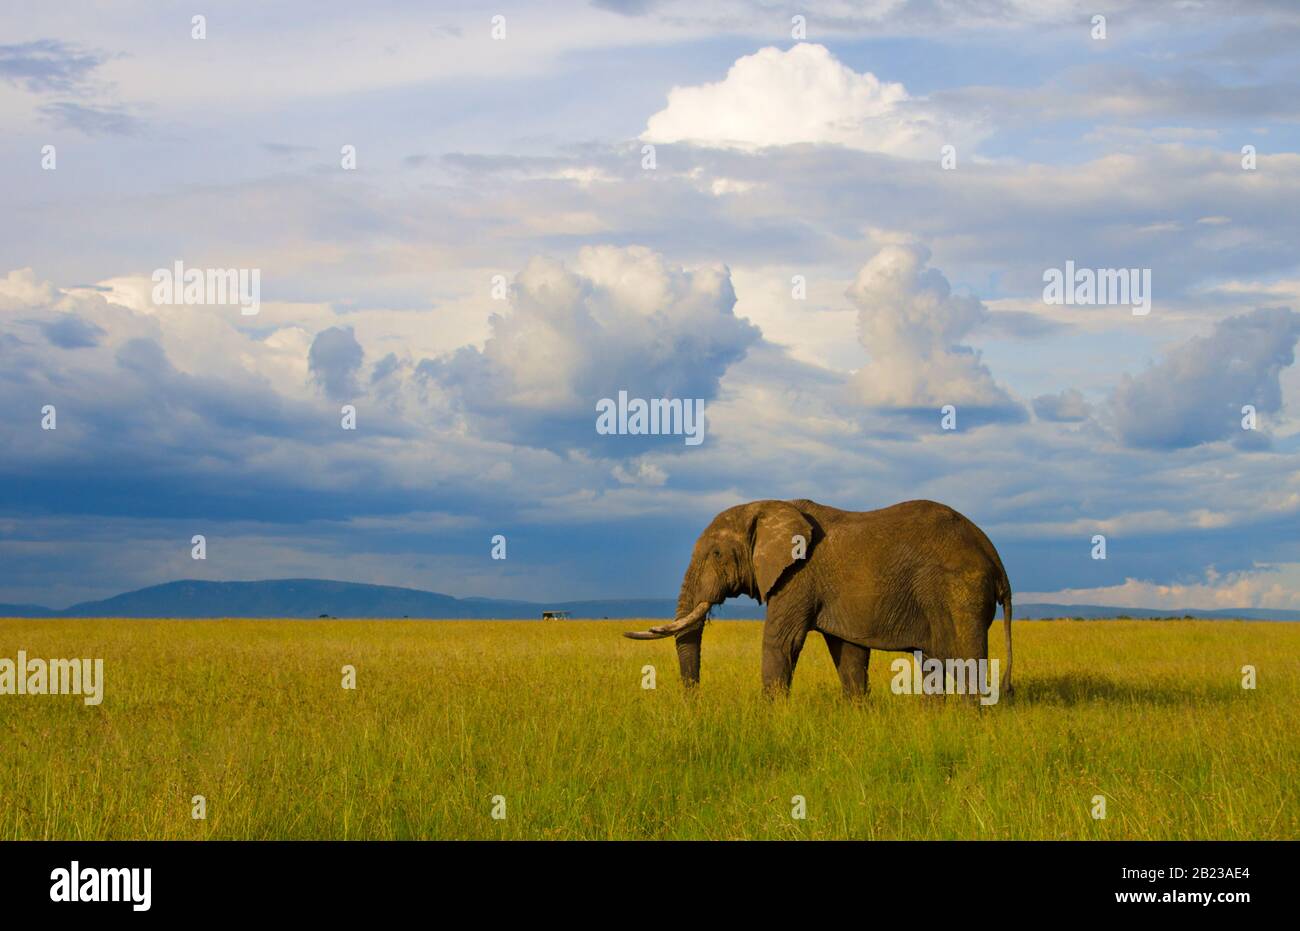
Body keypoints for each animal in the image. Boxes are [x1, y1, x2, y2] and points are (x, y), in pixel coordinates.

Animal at [624, 501, 1008, 696]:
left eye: (717, 554)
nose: (693, 702)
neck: (767, 508)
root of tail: (993, 554)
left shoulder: (797, 575)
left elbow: (781, 642)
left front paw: (771, 718)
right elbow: (848, 653)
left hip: (962, 591)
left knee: (967, 659)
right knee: (934, 663)